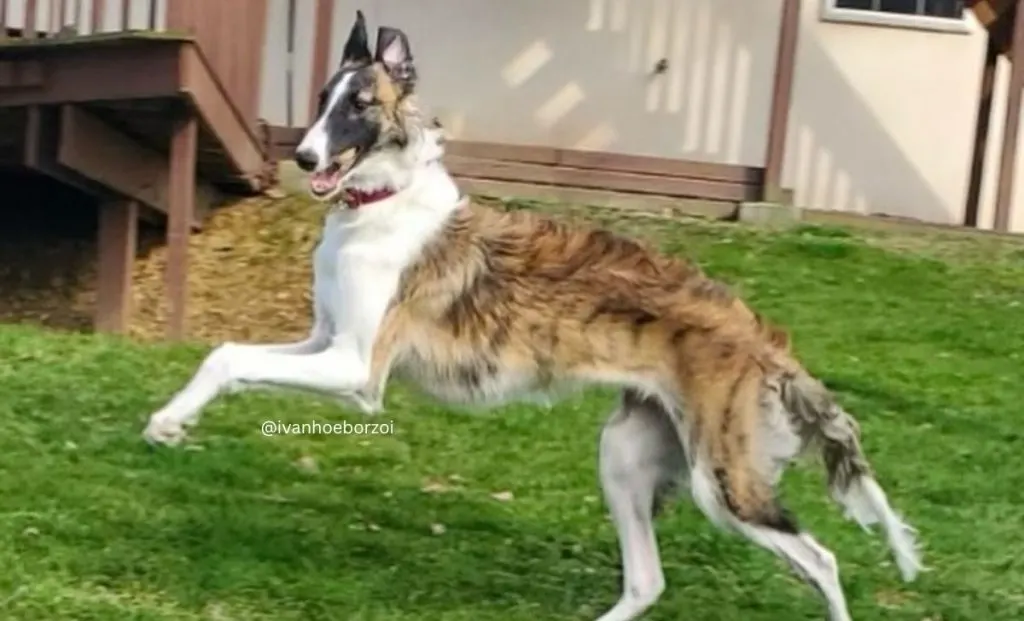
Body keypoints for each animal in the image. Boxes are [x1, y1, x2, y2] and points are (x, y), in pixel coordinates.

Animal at [142, 10, 921, 621]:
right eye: (322, 98)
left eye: (361, 104)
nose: (304, 158)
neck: (382, 205)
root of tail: (763, 339)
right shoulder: (323, 342)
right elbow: (225, 354)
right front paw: (171, 422)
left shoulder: (357, 368)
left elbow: (235, 356)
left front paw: (168, 423)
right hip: (628, 454)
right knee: (648, 580)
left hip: (724, 482)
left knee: (821, 559)